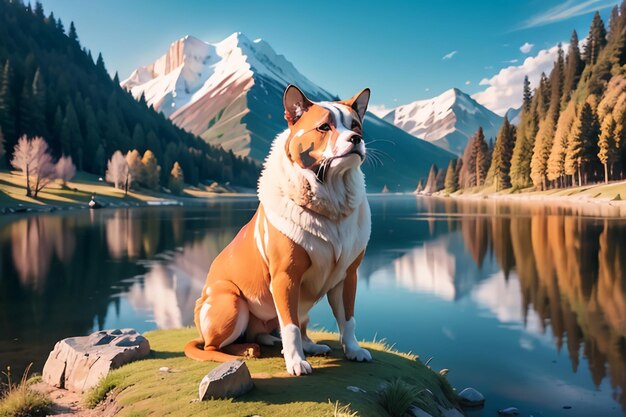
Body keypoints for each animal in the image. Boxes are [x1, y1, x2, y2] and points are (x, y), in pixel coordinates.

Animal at [185, 83, 370, 374]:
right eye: (324, 127)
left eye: (356, 126)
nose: (355, 139)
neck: (331, 202)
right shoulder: (286, 277)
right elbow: (290, 325)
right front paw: (295, 362)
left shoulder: (347, 277)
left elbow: (347, 320)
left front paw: (352, 350)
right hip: (232, 302)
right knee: (213, 347)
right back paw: (246, 350)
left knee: (286, 328)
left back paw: (303, 345)